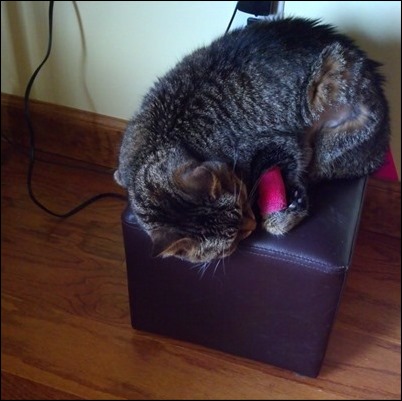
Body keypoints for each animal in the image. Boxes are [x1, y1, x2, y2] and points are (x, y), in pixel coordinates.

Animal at [114, 18, 392, 262]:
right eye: (231, 242)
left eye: (241, 205)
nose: (251, 225)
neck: (159, 142)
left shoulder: (281, 145)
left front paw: (286, 208)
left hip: (331, 91)